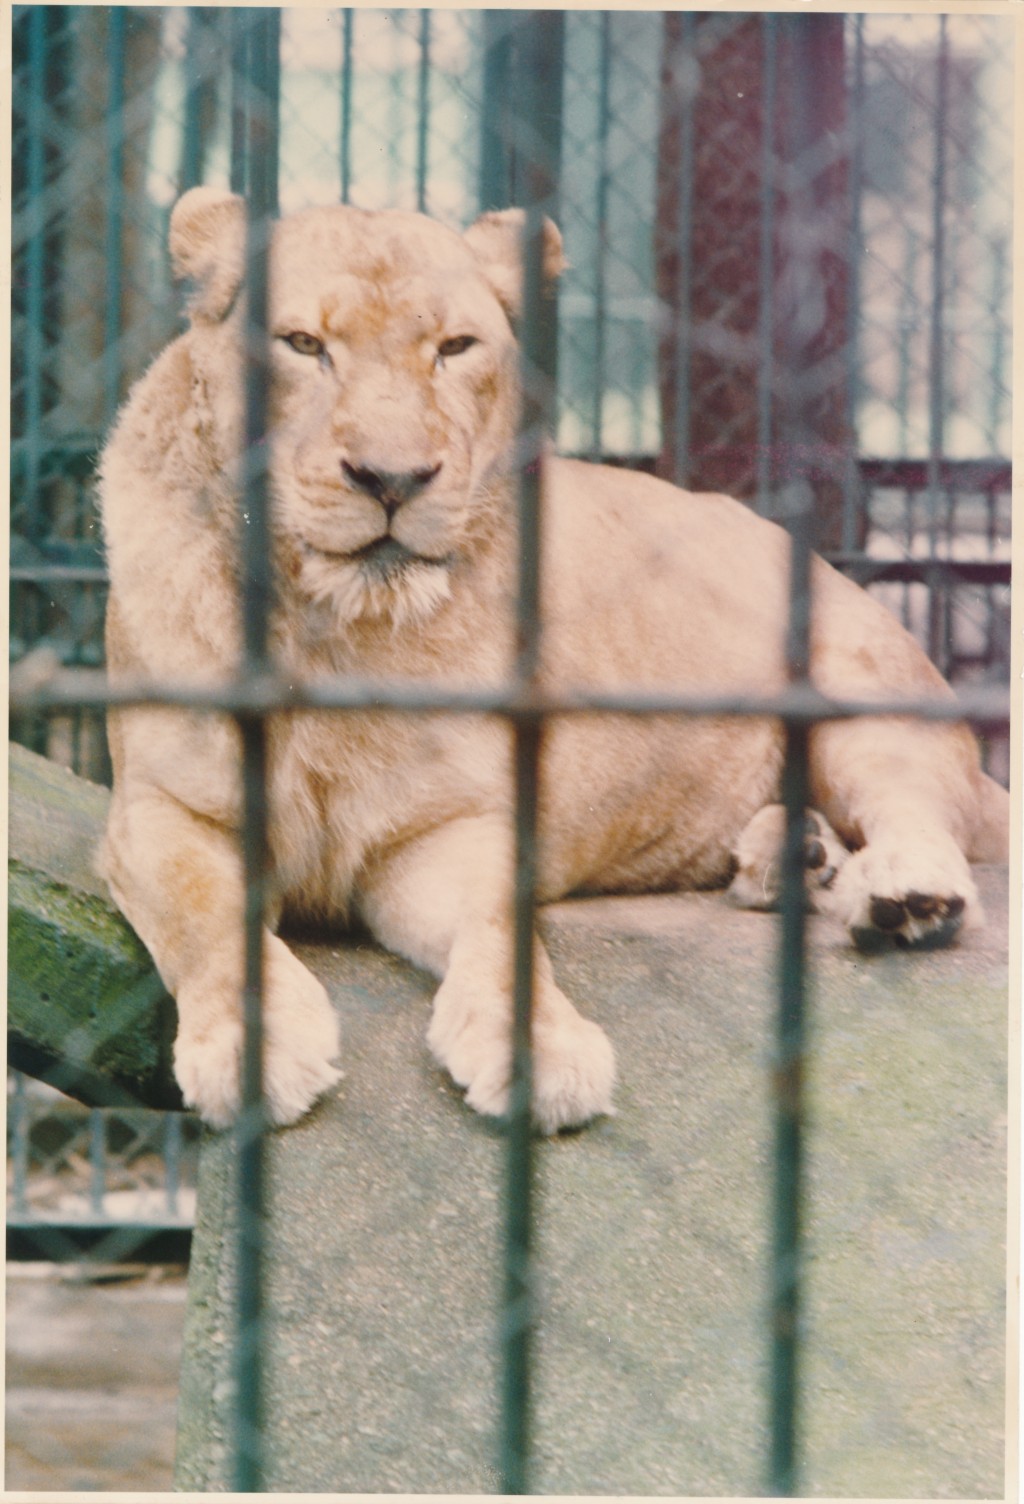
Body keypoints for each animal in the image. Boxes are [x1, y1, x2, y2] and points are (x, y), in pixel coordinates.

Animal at [97, 184, 1004, 1131]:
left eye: (455, 348)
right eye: (304, 344)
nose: (393, 478)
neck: (337, 632)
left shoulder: (452, 831)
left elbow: (504, 935)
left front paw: (539, 1046)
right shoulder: (159, 813)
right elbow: (204, 916)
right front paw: (251, 1046)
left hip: (860, 691)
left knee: (921, 806)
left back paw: (905, 896)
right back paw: (795, 857)